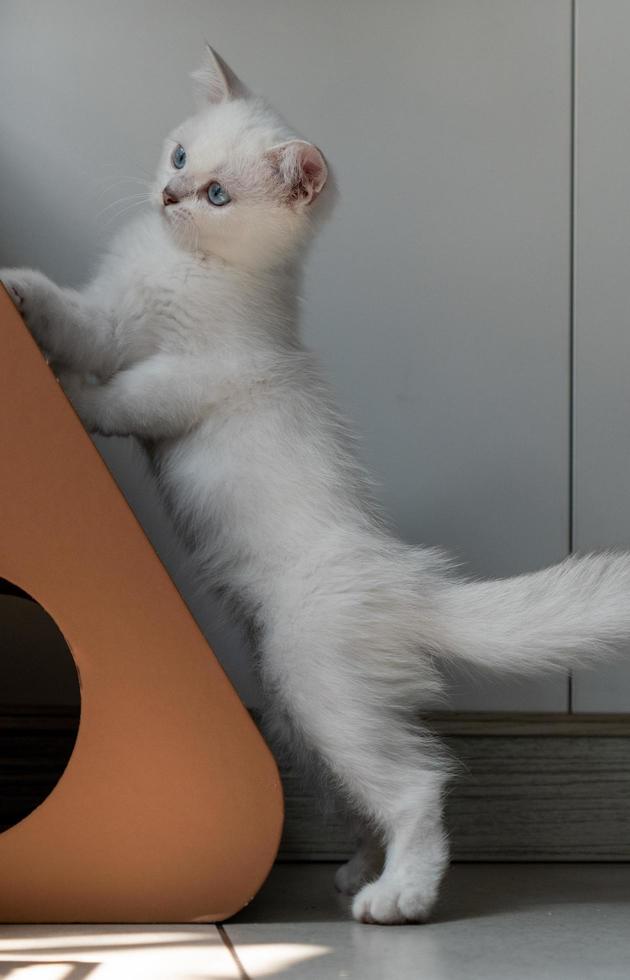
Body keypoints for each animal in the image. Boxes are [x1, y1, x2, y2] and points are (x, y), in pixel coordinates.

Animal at [3, 49, 630, 924]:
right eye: (182, 156)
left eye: (218, 196)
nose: (170, 195)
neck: (182, 267)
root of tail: (402, 580)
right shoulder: (112, 318)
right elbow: (73, 316)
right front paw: (19, 294)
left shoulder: (198, 373)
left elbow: (126, 397)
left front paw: (67, 395)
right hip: (298, 711)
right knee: (370, 795)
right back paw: (359, 873)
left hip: (316, 681)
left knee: (417, 786)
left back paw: (398, 898)